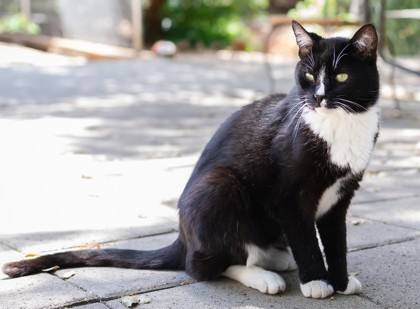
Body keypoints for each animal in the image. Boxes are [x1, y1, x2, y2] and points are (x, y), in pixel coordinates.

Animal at [0, 19, 380, 298]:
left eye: (342, 76)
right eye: (309, 75)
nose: (318, 98)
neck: (341, 125)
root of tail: (182, 238)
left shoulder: (341, 195)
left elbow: (336, 239)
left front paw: (340, 281)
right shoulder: (288, 194)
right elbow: (305, 239)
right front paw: (317, 282)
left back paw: (277, 258)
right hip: (219, 186)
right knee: (202, 265)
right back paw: (262, 276)